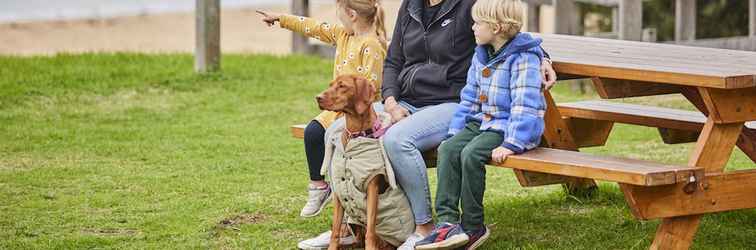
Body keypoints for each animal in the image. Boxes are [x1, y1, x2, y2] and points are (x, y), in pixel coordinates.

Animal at [316, 74, 392, 250]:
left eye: (342, 86)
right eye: (331, 84)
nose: (318, 97)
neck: (355, 135)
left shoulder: (372, 187)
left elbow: (371, 230)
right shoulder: (339, 189)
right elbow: (335, 230)